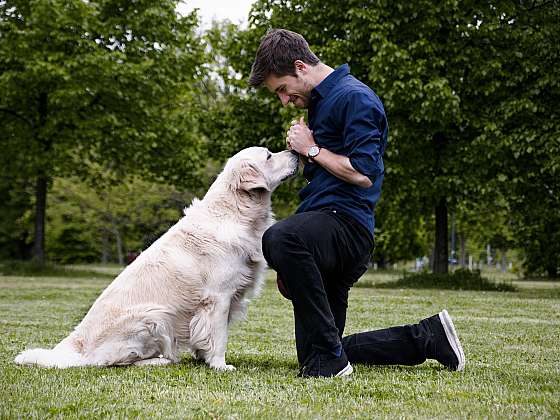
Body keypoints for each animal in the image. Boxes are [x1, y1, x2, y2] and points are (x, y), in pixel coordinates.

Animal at [14, 146, 298, 370]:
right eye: (269, 156)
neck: (235, 211)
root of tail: (76, 346)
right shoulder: (218, 297)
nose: (296, 152)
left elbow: (204, 336)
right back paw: (160, 360)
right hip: (155, 317)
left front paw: (202, 358)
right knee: (113, 362)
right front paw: (220, 365)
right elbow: (218, 336)